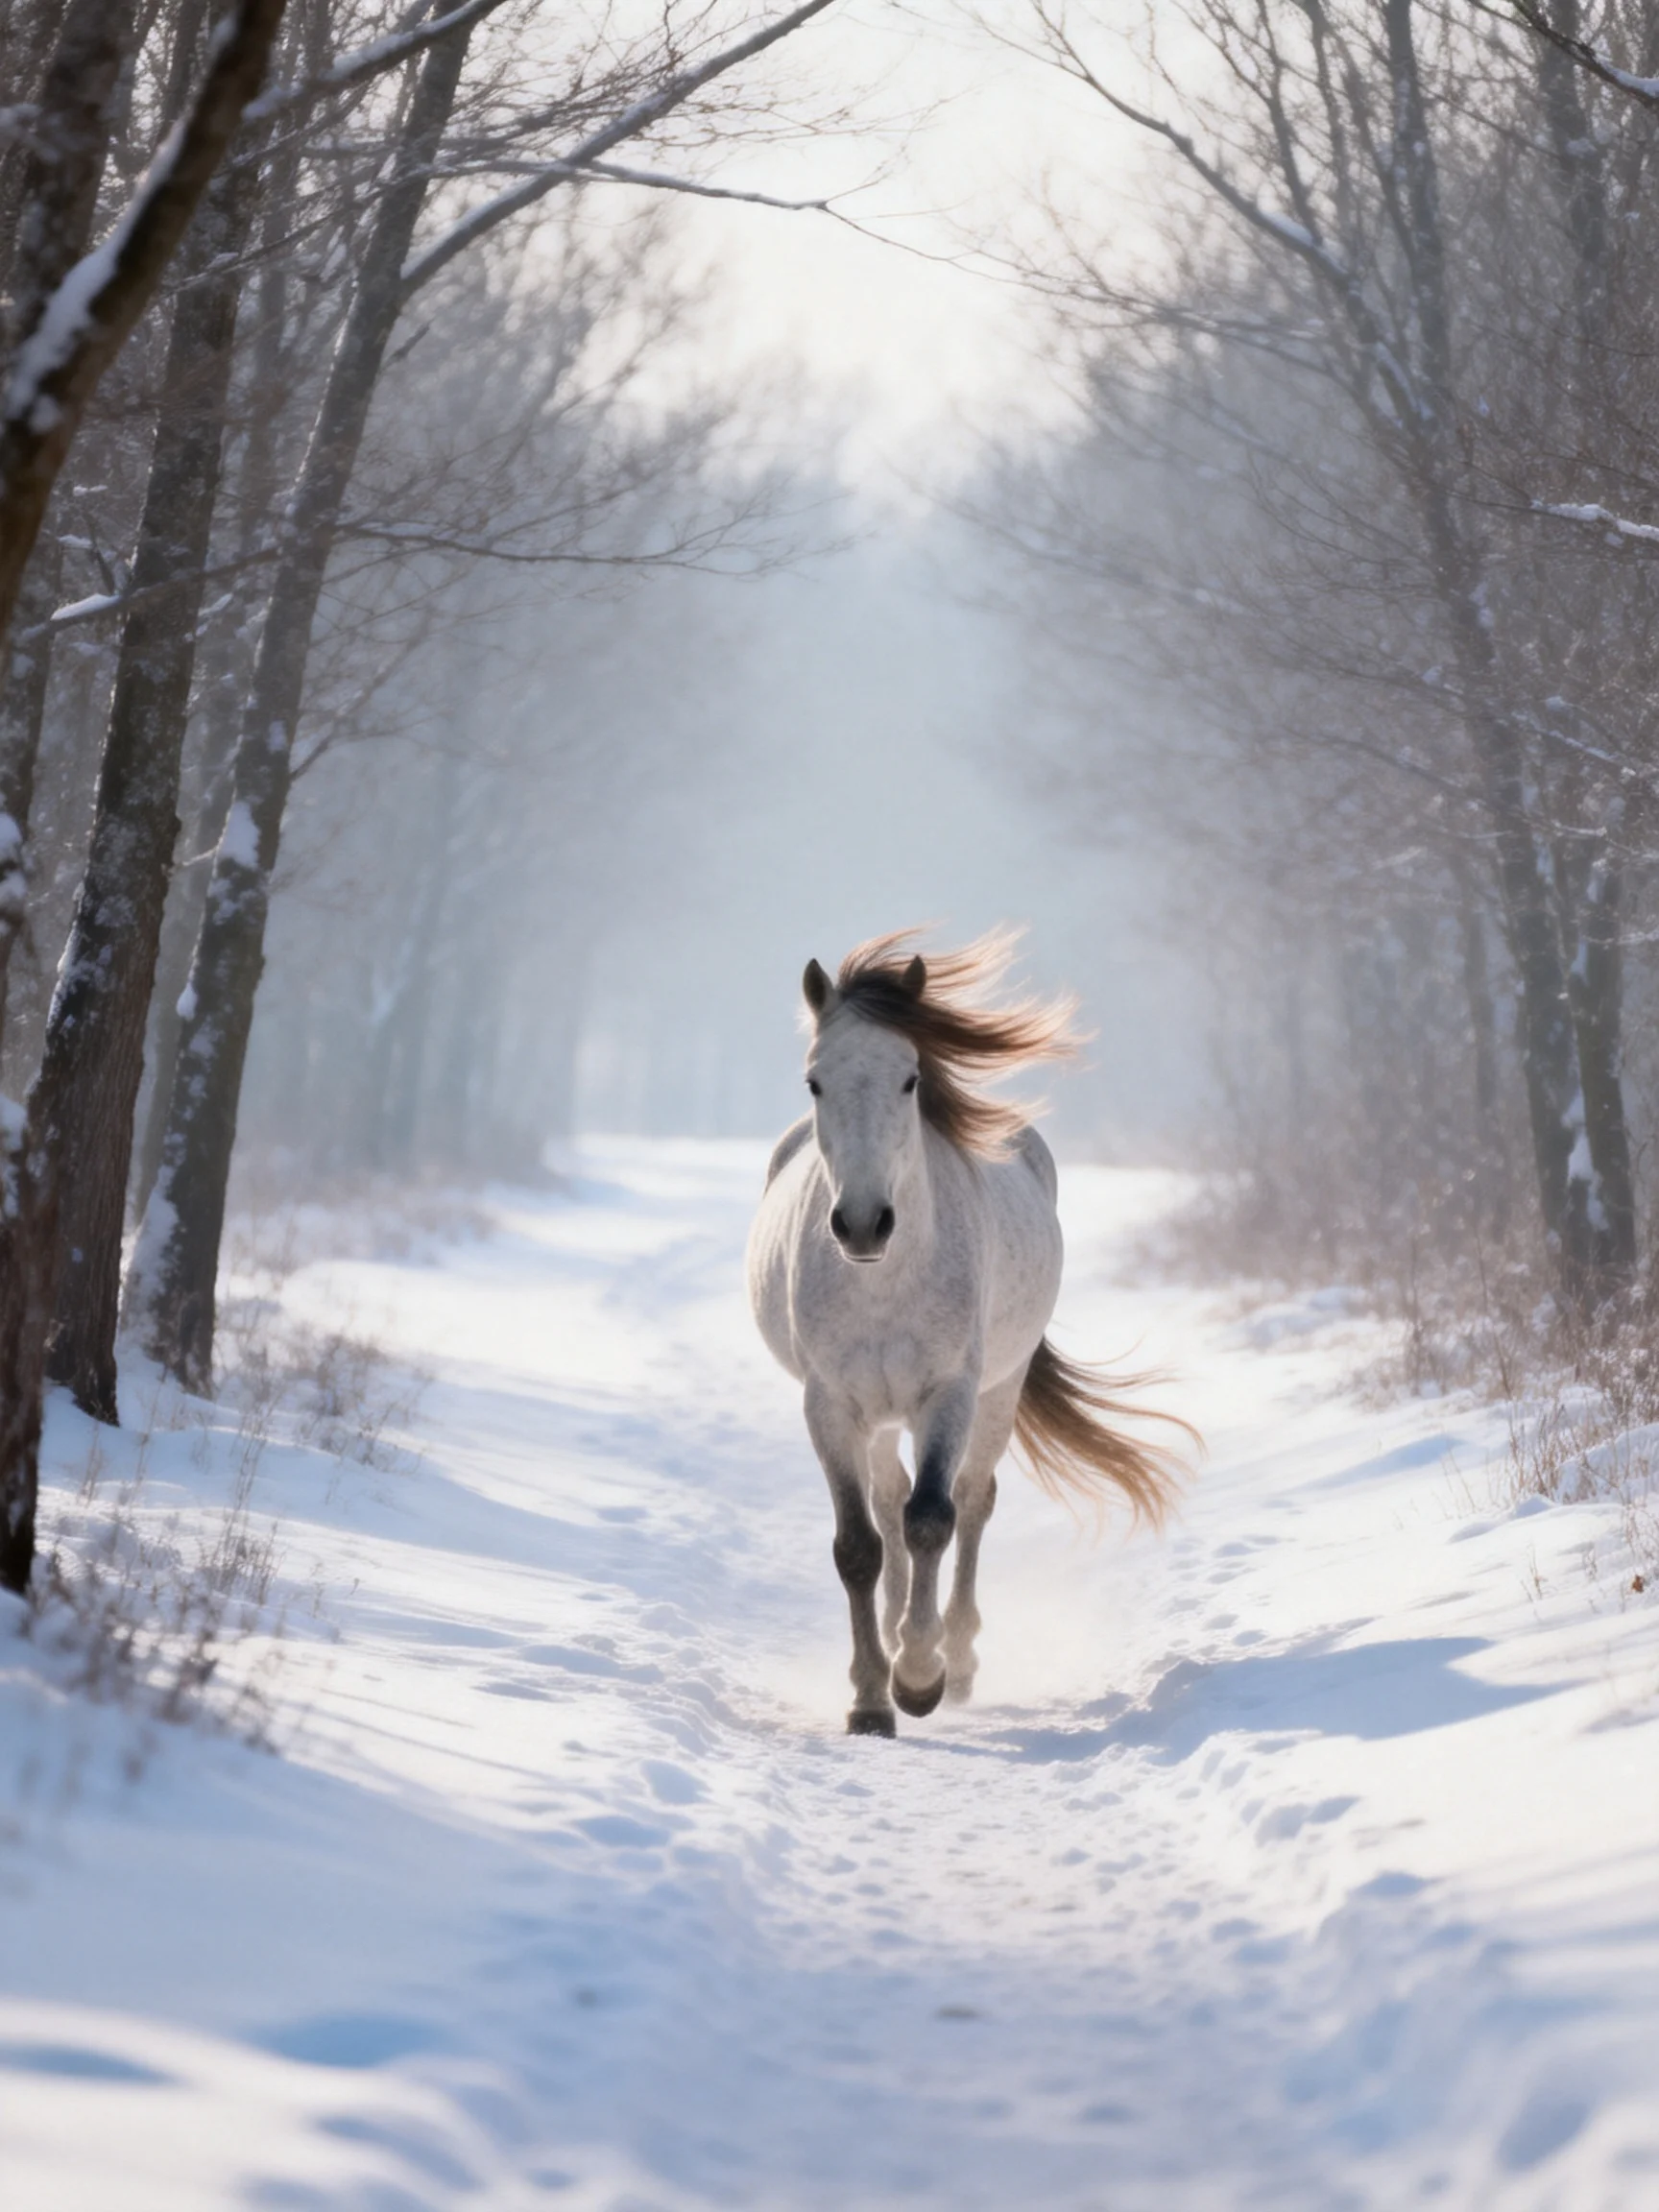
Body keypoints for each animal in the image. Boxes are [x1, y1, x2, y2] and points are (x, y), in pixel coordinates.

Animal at [746, 928, 1189, 1737]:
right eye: (815, 1082)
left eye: (910, 1080)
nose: (862, 1224)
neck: (885, 1278)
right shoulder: (830, 1405)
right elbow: (860, 1545)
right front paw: (870, 1698)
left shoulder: (947, 1393)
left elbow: (932, 1519)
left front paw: (920, 1679)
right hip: (878, 1414)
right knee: (887, 1501)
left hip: (998, 1391)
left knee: (972, 1500)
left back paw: (957, 1659)